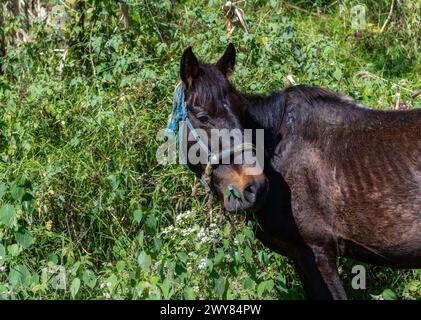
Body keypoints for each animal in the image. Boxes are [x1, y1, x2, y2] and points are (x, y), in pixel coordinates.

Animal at [176, 43, 420, 298]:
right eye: (203, 117)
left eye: (242, 112)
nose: (255, 188)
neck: (281, 151)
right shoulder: (300, 256)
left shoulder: (319, 251)